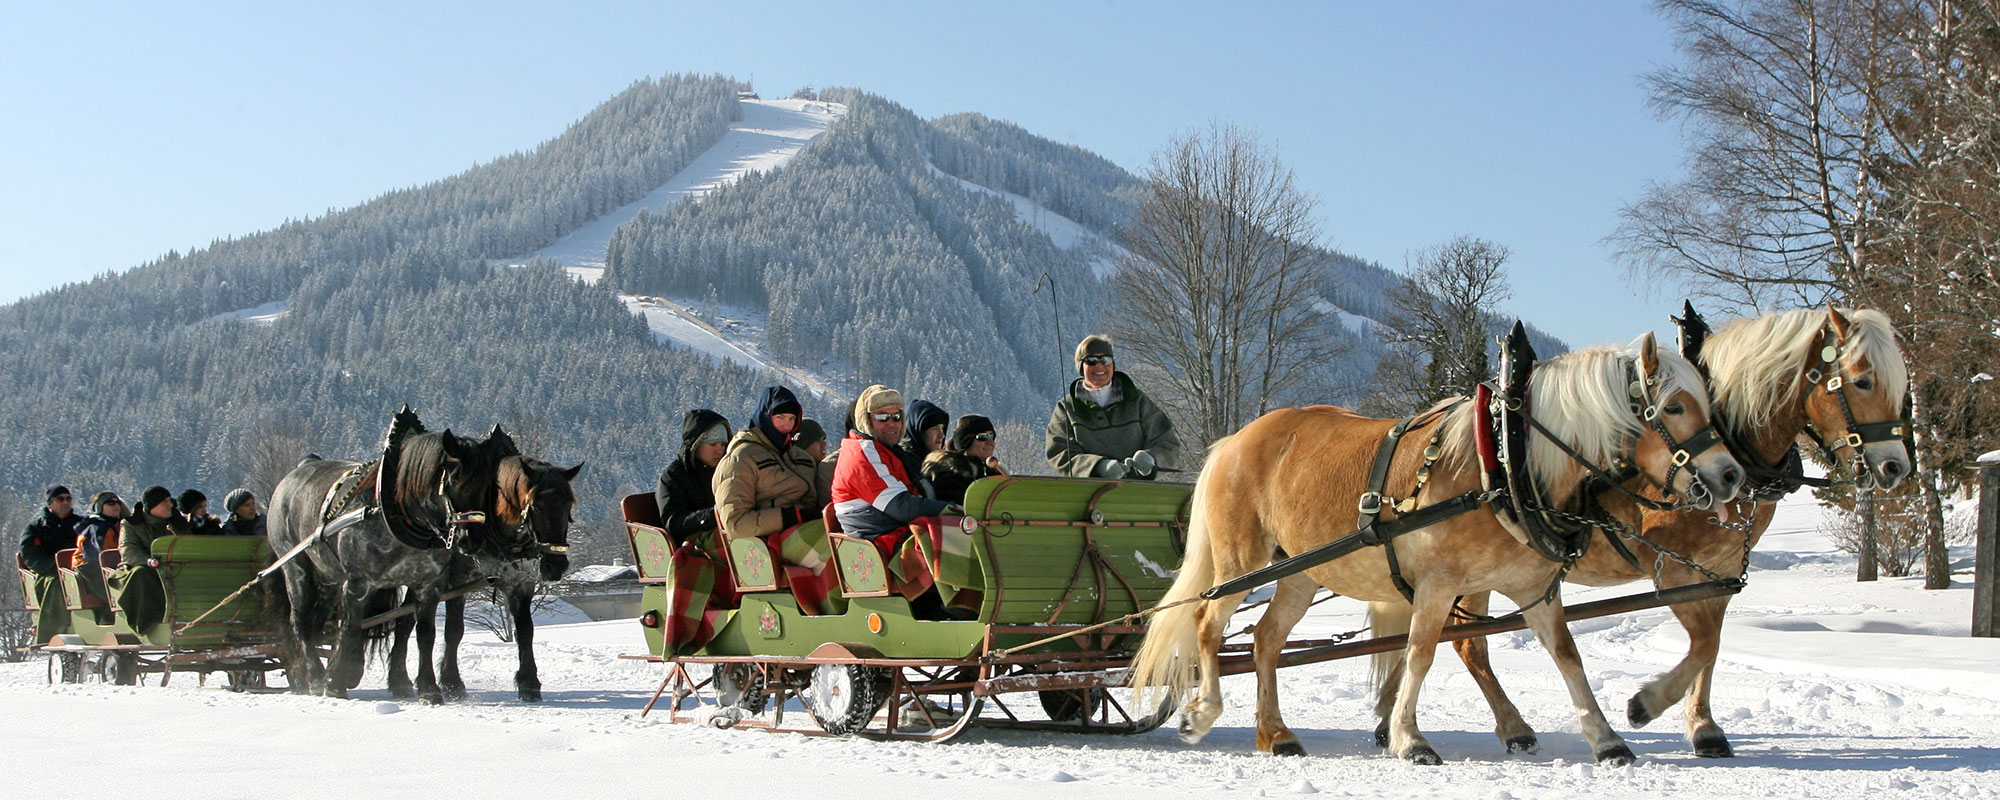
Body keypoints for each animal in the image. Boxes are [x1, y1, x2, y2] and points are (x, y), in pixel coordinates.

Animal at [266, 410, 532, 696]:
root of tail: (293, 474)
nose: (470, 539)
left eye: (489, 487)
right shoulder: (358, 583)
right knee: (301, 621)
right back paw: (315, 677)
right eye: (452, 482)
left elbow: (426, 632)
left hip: (327, 577)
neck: (398, 514)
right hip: (296, 567)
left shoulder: (432, 584)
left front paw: (429, 687)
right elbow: (351, 627)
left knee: (317, 622)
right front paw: (338, 681)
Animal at [1136, 332, 1744, 764]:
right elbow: (1421, 652)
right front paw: (1410, 738)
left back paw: (1275, 733)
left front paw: (1609, 736)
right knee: (1208, 623)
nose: (1730, 474)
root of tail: (1233, 441)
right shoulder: (1436, 585)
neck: (1505, 464)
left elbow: (1568, 656)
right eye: (1673, 408)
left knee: (1265, 640)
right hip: (1242, 558)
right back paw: (1203, 712)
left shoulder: (1534, 588)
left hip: (1303, 571)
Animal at [1384, 304, 1912, 756]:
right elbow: (1703, 643)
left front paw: (1703, 727)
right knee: (1465, 643)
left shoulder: (1718, 575)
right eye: (1863, 381)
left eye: (1901, 385)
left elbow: (1711, 647)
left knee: (1463, 642)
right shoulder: (1673, 571)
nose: (1895, 467)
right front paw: (1648, 705)